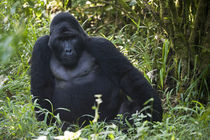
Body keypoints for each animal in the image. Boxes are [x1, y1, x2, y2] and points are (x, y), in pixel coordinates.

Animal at [30, 12, 162, 128]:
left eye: (72, 38)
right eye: (61, 39)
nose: (68, 50)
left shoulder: (101, 44)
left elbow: (125, 75)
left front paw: (153, 109)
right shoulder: (40, 46)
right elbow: (41, 87)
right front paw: (46, 122)